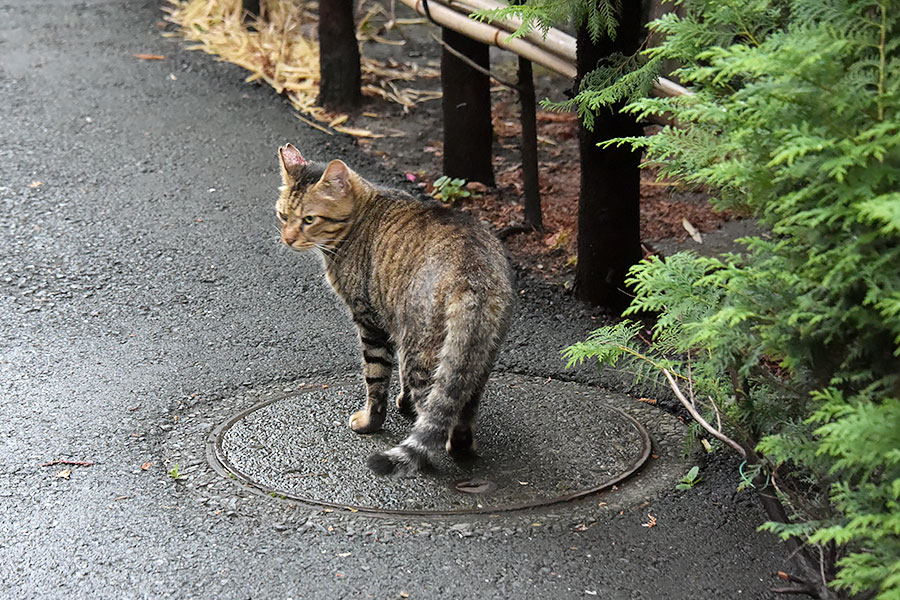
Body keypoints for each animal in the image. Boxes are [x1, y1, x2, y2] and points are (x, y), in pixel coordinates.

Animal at [274, 143, 512, 476]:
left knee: (432, 412)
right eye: (283, 215)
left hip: (422, 349)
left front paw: (370, 421)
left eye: (309, 219)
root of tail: (472, 273)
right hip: (478, 355)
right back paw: (462, 448)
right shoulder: (394, 319)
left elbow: (375, 380)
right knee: (461, 406)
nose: (287, 239)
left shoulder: (370, 322)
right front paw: (403, 403)